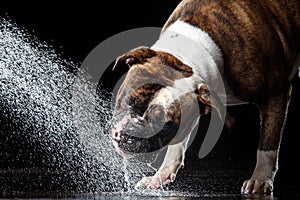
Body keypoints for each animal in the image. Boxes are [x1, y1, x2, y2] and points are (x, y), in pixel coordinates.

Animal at [110, 0, 300, 195]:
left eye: (166, 126)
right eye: (128, 101)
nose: (130, 133)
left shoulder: (276, 95)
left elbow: (268, 144)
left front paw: (261, 178)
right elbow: (177, 145)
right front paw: (161, 176)